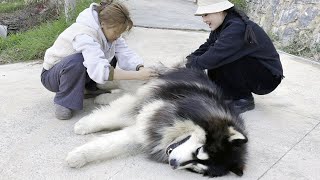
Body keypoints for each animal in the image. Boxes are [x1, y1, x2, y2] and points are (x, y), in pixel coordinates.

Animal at [66, 68, 249, 177]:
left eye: (196, 167)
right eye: (199, 151)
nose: (173, 163)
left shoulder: (148, 133)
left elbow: (109, 145)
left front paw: (78, 156)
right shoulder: (150, 108)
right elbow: (112, 117)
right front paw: (83, 128)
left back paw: (103, 96)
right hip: (152, 82)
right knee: (128, 82)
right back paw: (101, 85)